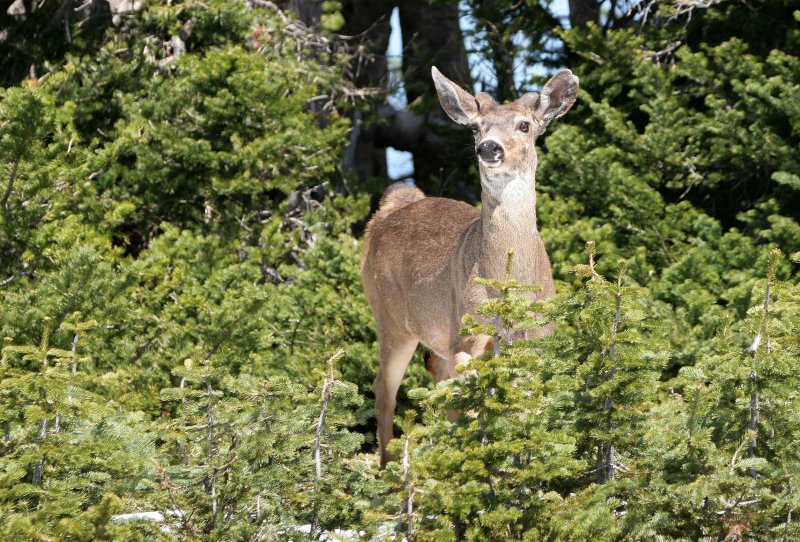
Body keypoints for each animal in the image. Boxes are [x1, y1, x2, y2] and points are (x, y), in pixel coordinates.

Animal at [360, 65, 580, 468]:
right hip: (390, 314)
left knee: (436, 373)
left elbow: (526, 409)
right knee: (385, 385)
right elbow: (481, 410)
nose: (489, 147)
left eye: (525, 125)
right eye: (476, 127)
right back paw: (387, 467)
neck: (508, 283)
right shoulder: (470, 335)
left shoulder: (538, 338)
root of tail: (385, 212)